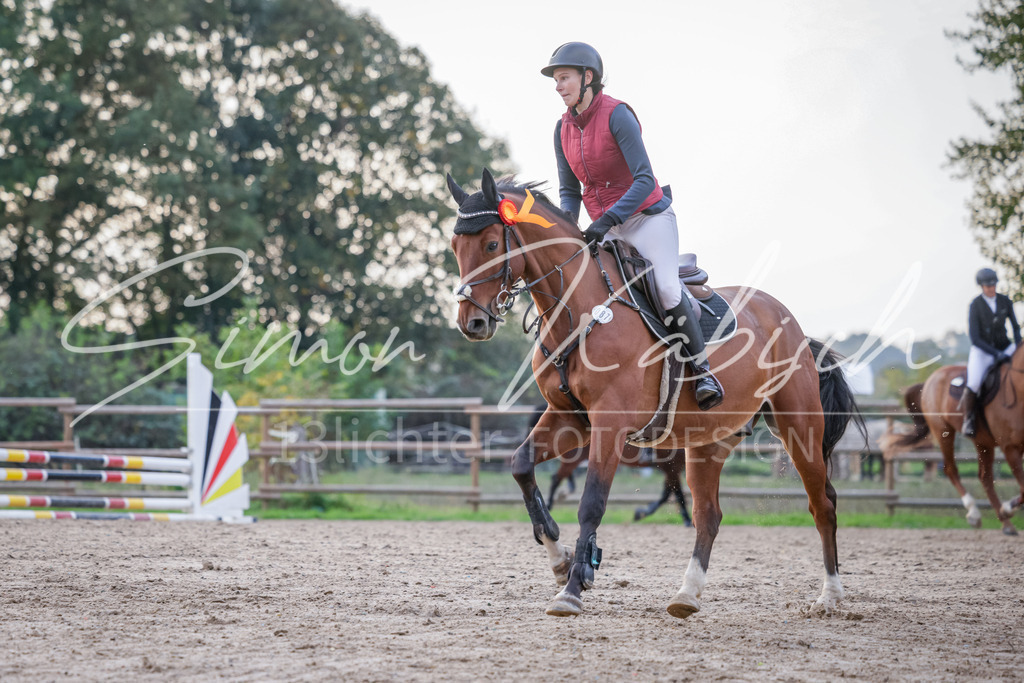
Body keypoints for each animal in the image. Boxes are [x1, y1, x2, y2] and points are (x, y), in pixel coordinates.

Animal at [446, 170, 863, 618]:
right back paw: (687, 594)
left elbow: (592, 503)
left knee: (822, 504)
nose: (471, 323)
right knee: (708, 514)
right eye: (455, 247)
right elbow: (521, 465)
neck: (578, 311)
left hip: (798, 427)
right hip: (708, 441)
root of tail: (792, 323)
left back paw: (830, 596)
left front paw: (573, 587)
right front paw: (559, 559)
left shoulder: (609, 425)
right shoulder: (569, 419)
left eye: (491, 245)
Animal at [884, 352, 1024, 535]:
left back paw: (1006, 523)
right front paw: (1008, 507)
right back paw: (976, 513)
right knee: (951, 469)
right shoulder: (1010, 448)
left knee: (985, 477)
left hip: (982, 441)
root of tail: (931, 378)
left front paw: (1007, 508)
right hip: (943, 431)